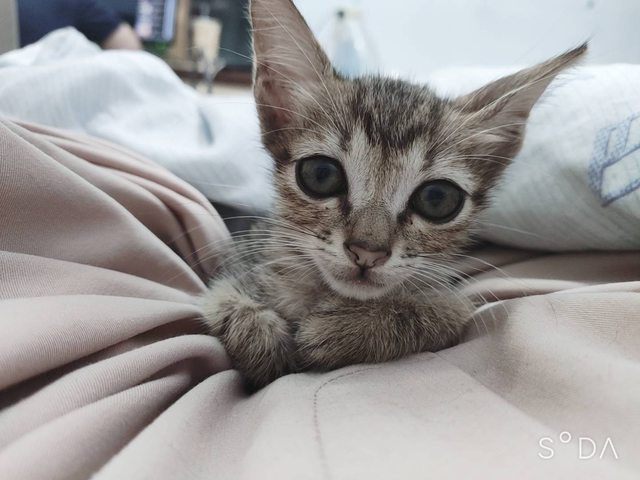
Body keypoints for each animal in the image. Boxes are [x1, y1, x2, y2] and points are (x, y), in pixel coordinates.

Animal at [202, 0, 586, 389]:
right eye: (321, 175)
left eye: (437, 199)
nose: (367, 252)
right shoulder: (240, 257)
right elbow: (221, 295)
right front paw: (260, 335)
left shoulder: (454, 298)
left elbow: (451, 311)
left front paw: (348, 328)